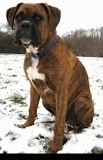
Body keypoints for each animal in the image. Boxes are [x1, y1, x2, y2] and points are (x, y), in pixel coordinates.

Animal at [6, 2, 93, 152]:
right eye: (18, 17)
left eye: (38, 17)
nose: (25, 25)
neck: (37, 52)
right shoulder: (34, 87)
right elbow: (32, 108)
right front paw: (27, 125)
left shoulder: (61, 92)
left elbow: (59, 124)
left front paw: (55, 147)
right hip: (46, 100)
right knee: (59, 117)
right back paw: (48, 121)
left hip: (82, 101)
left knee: (80, 124)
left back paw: (76, 130)